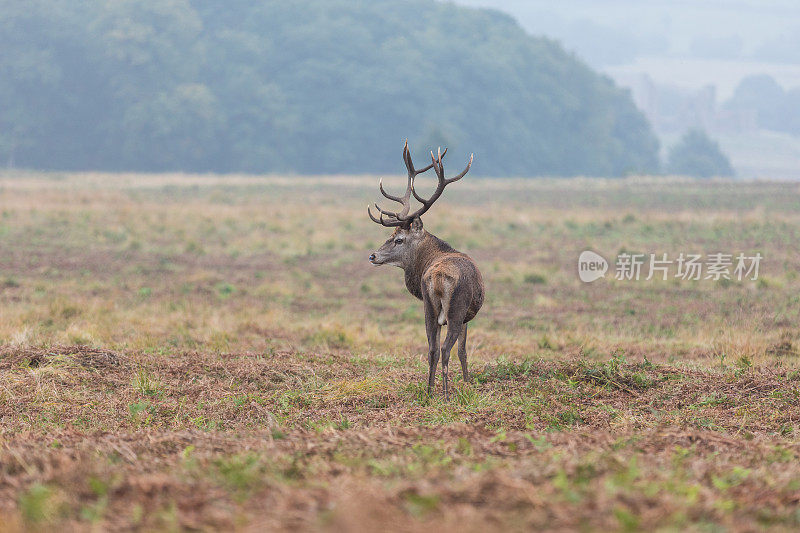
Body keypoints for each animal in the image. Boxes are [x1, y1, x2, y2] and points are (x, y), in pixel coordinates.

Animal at [368, 141, 484, 400]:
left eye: (398, 239)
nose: (373, 255)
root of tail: (438, 277)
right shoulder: (466, 317)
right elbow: (463, 351)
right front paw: (468, 382)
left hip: (429, 309)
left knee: (432, 348)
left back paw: (429, 392)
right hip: (456, 309)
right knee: (445, 349)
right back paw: (446, 394)